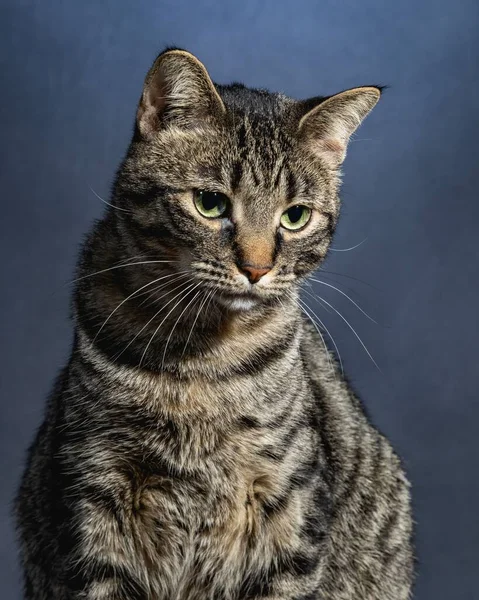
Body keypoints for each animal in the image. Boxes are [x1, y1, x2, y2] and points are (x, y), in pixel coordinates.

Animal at [14, 48, 412, 600]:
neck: (200, 356)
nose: (257, 267)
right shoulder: (95, 496)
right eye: (210, 203)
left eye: (295, 217)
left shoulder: (289, 506)